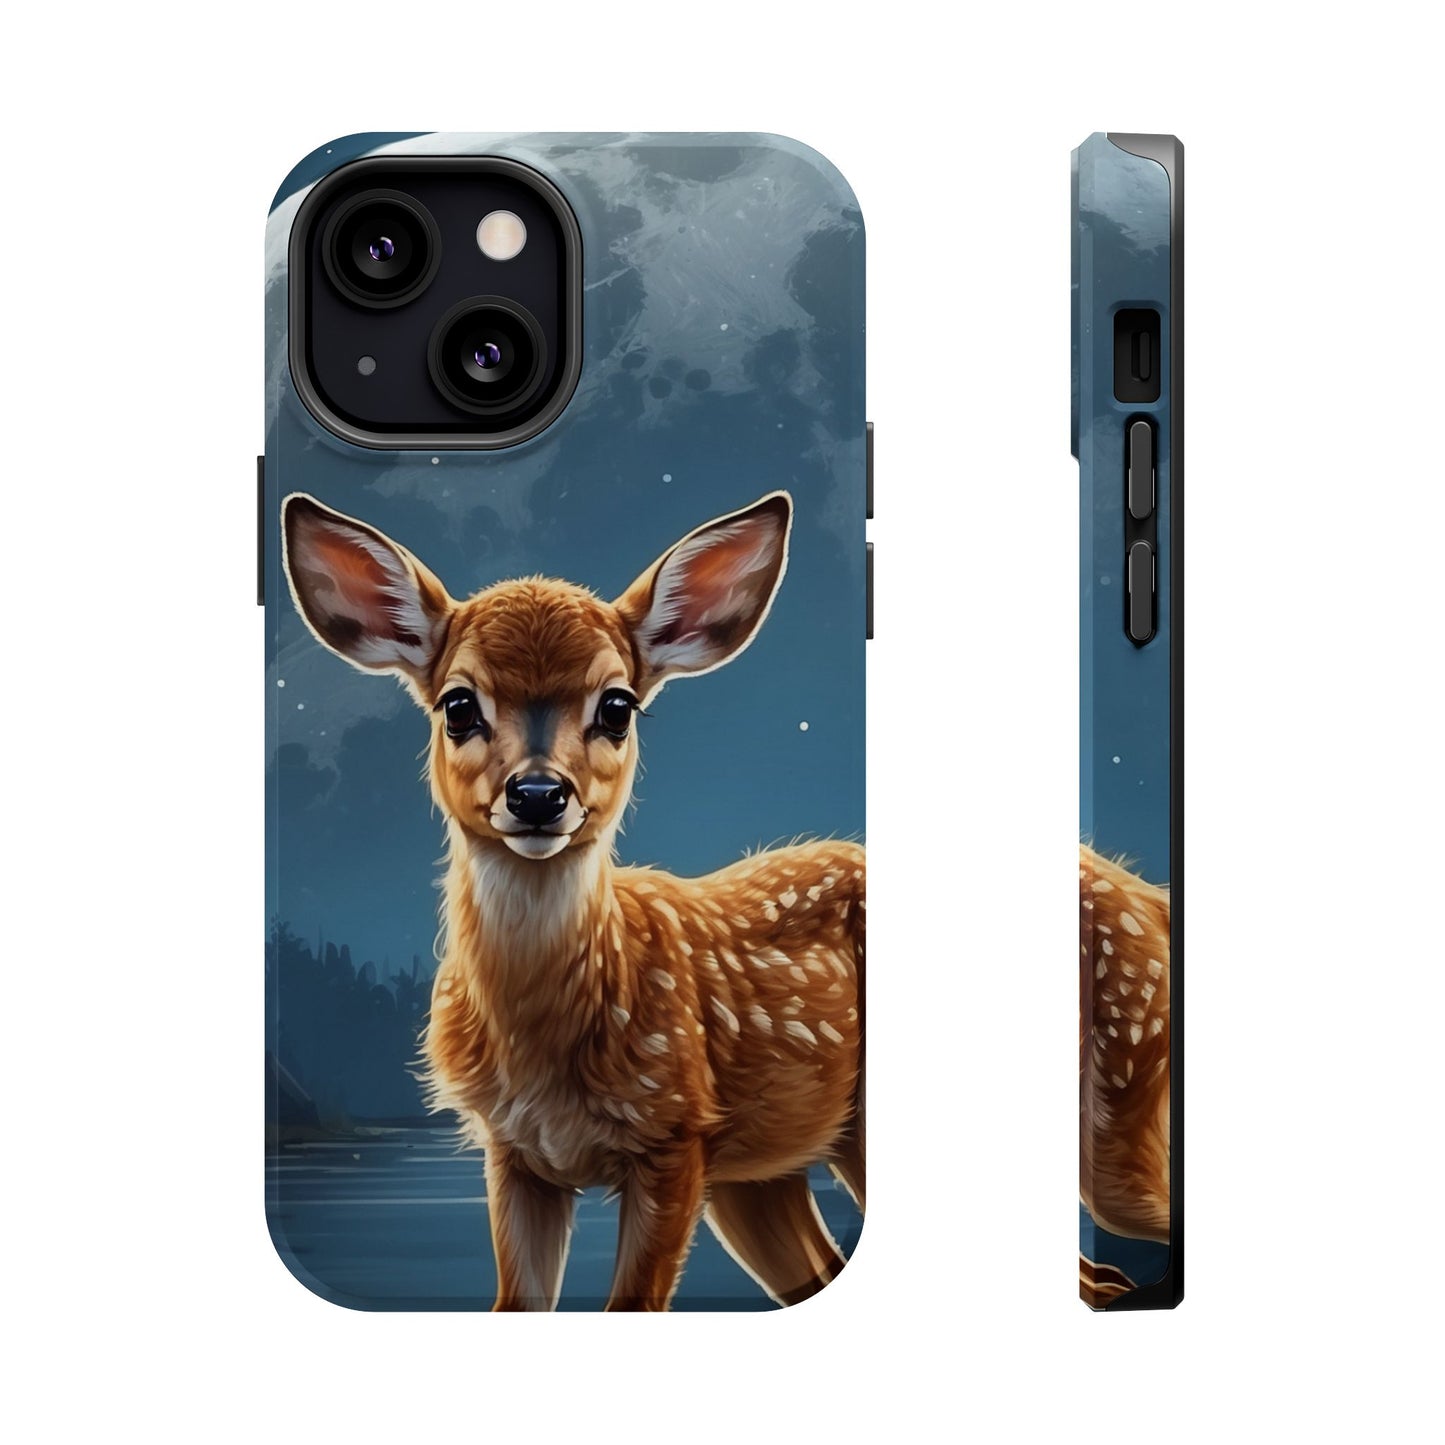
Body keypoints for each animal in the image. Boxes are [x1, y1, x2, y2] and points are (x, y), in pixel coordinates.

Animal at [282, 489, 864, 1310]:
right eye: (457, 704)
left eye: (617, 705)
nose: (536, 793)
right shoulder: (513, 1151)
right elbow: (516, 1302)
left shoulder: (673, 1134)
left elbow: (633, 1304)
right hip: (760, 1174)